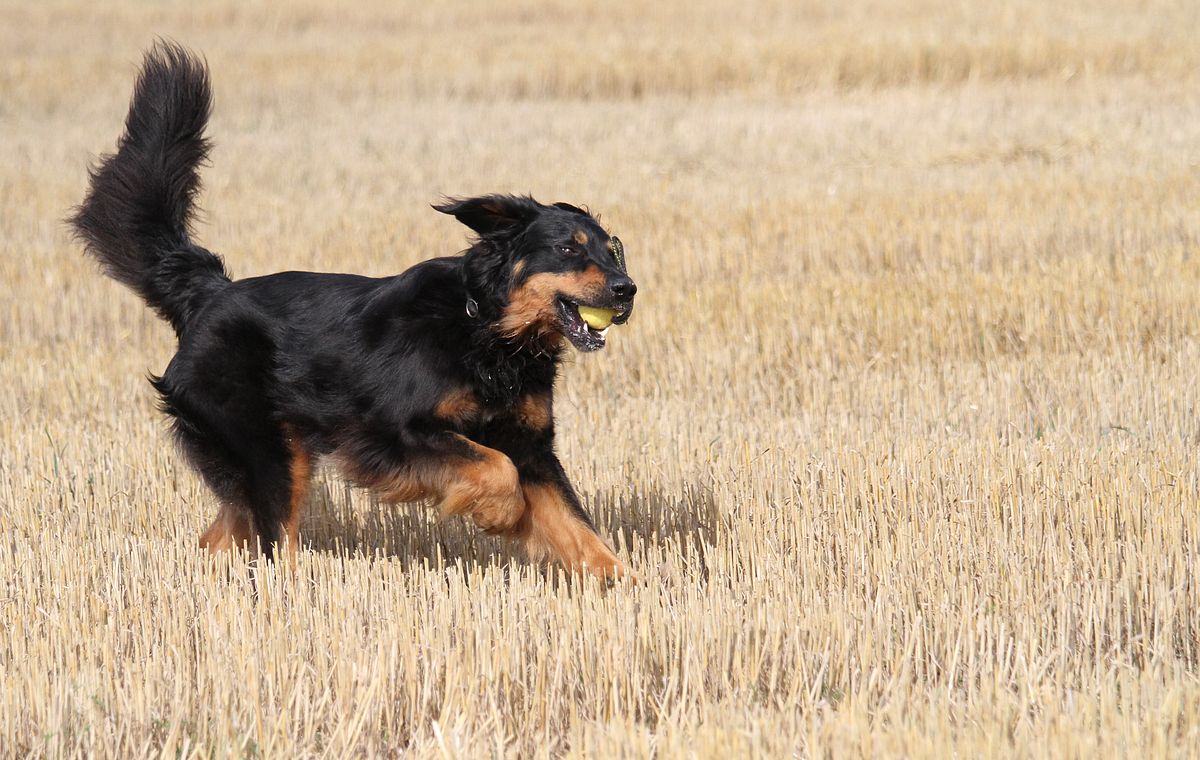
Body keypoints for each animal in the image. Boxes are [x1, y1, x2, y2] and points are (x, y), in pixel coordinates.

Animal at [70, 43, 637, 579]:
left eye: (612, 250)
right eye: (568, 249)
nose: (627, 290)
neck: (487, 330)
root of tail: (208, 292)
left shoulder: (530, 444)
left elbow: (578, 528)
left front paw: (625, 584)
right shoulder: (392, 432)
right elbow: (497, 469)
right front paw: (501, 512)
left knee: (222, 535)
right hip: (268, 452)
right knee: (273, 542)